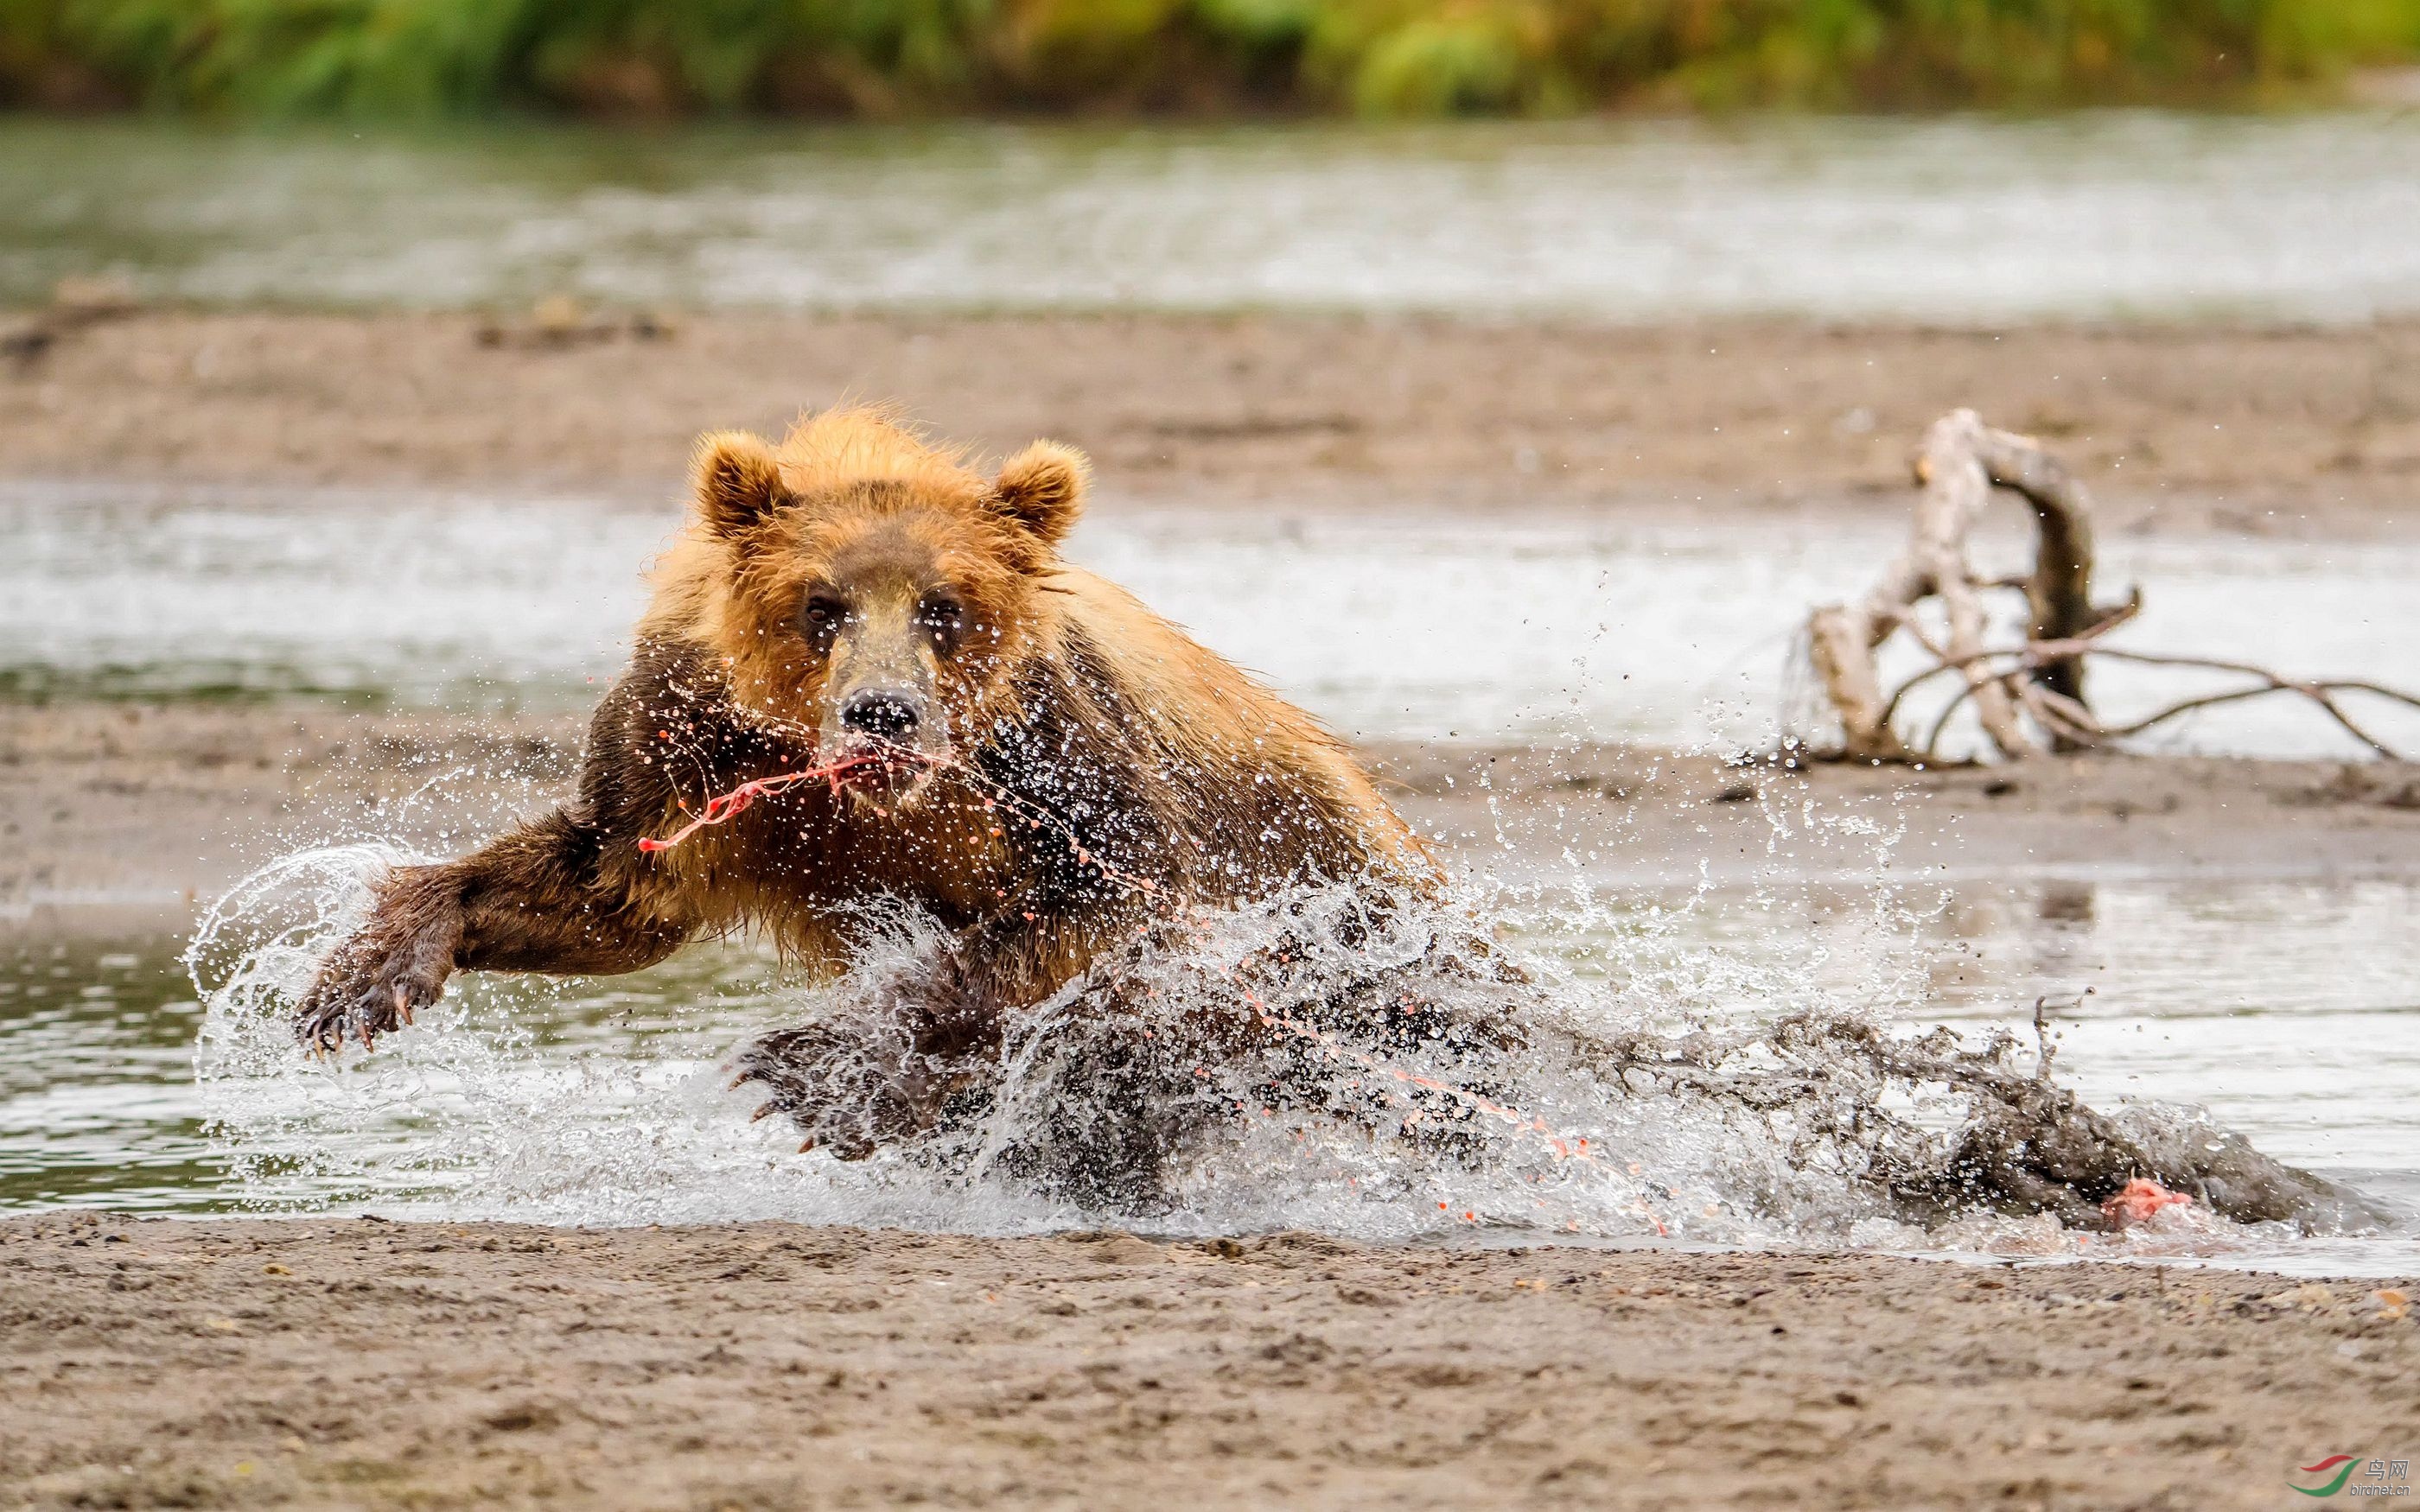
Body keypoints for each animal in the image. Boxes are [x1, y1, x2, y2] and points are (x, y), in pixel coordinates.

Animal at [300, 406, 1432, 1151]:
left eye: (942, 605)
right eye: (821, 603)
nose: (882, 711)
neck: (849, 789)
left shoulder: (1053, 755)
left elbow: (1101, 896)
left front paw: (806, 1069)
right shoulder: (685, 750)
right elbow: (610, 884)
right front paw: (362, 979)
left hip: (1332, 896)